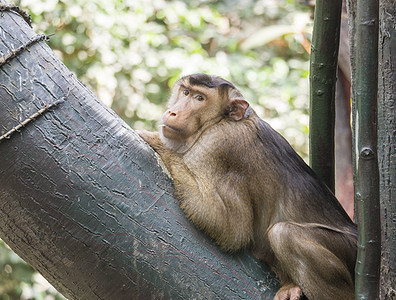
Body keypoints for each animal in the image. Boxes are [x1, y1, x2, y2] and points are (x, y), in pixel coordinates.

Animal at [138, 73, 358, 300]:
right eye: (186, 92)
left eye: (199, 98)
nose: (173, 111)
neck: (218, 122)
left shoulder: (217, 146)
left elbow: (230, 228)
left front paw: (156, 141)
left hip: (350, 251)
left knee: (284, 234)